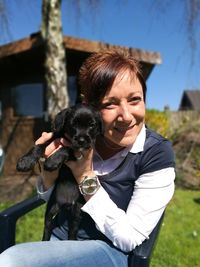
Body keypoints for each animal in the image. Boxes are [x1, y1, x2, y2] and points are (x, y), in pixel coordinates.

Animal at [16, 104, 102, 241]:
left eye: (91, 125)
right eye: (73, 124)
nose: (82, 140)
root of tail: (66, 203)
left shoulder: (82, 151)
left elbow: (67, 148)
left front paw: (52, 161)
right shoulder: (52, 138)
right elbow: (38, 146)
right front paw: (25, 161)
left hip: (76, 212)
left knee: (72, 231)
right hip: (51, 209)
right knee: (47, 227)